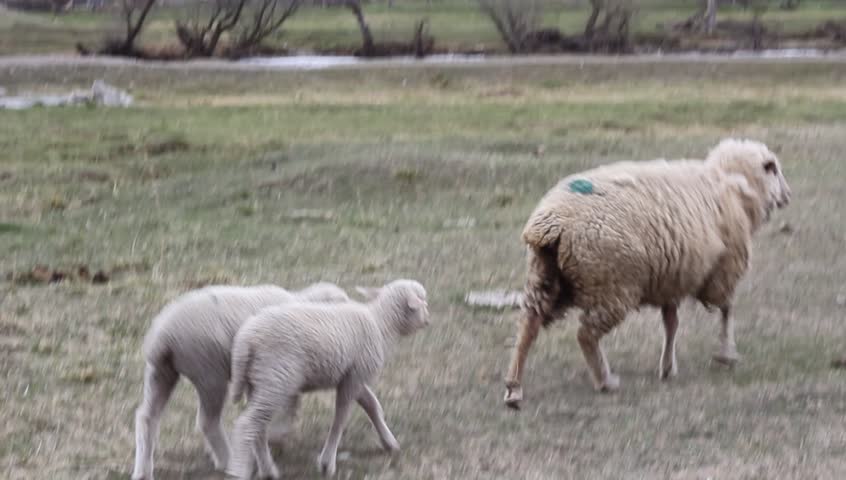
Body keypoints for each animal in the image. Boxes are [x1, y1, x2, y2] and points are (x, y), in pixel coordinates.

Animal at [132, 282, 350, 480]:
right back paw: (227, 460)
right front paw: (277, 434)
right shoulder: (284, 368)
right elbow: (291, 402)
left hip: (161, 372)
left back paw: (143, 471)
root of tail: (162, 339)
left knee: (147, 417)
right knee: (207, 421)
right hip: (209, 373)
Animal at [225, 279, 430, 479]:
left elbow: (372, 406)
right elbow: (340, 418)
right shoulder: (355, 377)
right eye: (422, 302)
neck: (381, 324)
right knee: (247, 424)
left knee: (257, 427)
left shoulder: (353, 375)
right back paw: (240, 471)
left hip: (257, 381)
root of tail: (245, 341)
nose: (428, 321)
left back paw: (268, 470)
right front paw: (327, 464)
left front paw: (389, 442)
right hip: (275, 379)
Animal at [503, 138, 792, 409]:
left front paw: (668, 366)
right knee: (585, 334)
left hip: (544, 278)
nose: (788, 195)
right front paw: (726, 354)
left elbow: (672, 323)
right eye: (774, 169)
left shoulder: (672, 277)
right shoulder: (723, 270)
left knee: (528, 328)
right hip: (612, 285)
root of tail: (553, 225)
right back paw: (605, 381)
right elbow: (726, 310)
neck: (731, 183)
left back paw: (514, 389)